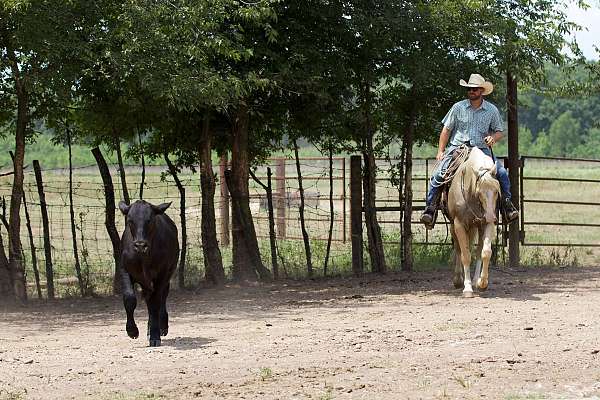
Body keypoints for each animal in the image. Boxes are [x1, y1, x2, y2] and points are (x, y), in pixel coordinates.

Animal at [118, 200, 179, 346]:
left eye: (149, 220)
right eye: (130, 220)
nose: (140, 245)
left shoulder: (162, 274)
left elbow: (155, 303)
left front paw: (155, 335)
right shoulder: (124, 270)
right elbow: (129, 299)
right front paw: (132, 330)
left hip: (168, 274)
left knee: (160, 299)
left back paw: (160, 327)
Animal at [448, 147, 500, 296]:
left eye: (496, 191)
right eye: (479, 192)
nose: (490, 216)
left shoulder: (487, 224)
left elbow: (485, 252)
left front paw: (482, 283)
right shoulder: (459, 224)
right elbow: (465, 255)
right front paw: (467, 288)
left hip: (475, 226)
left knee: (477, 251)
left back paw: (476, 280)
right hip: (454, 226)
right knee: (459, 249)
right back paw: (458, 280)